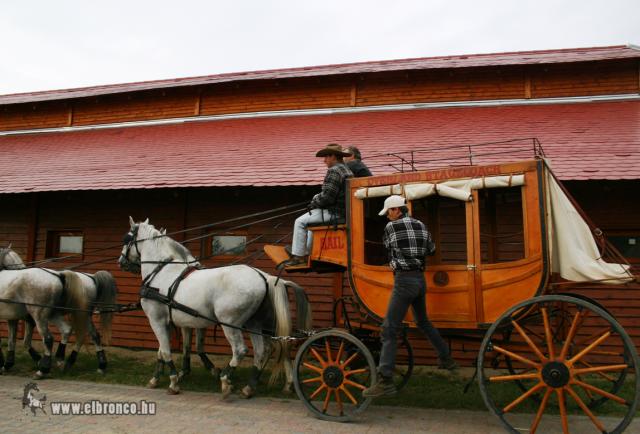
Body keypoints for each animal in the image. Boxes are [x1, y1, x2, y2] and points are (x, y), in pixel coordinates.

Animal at [119, 219, 312, 398]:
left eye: (126, 238)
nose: (121, 262)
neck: (161, 273)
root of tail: (264, 277)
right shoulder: (172, 323)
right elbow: (162, 350)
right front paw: (156, 378)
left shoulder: (157, 320)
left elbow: (166, 351)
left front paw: (173, 382)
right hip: (255, 323)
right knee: (264, 349)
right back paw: (251, 387)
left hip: (230, 323)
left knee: (241, 350)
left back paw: (226, 380)